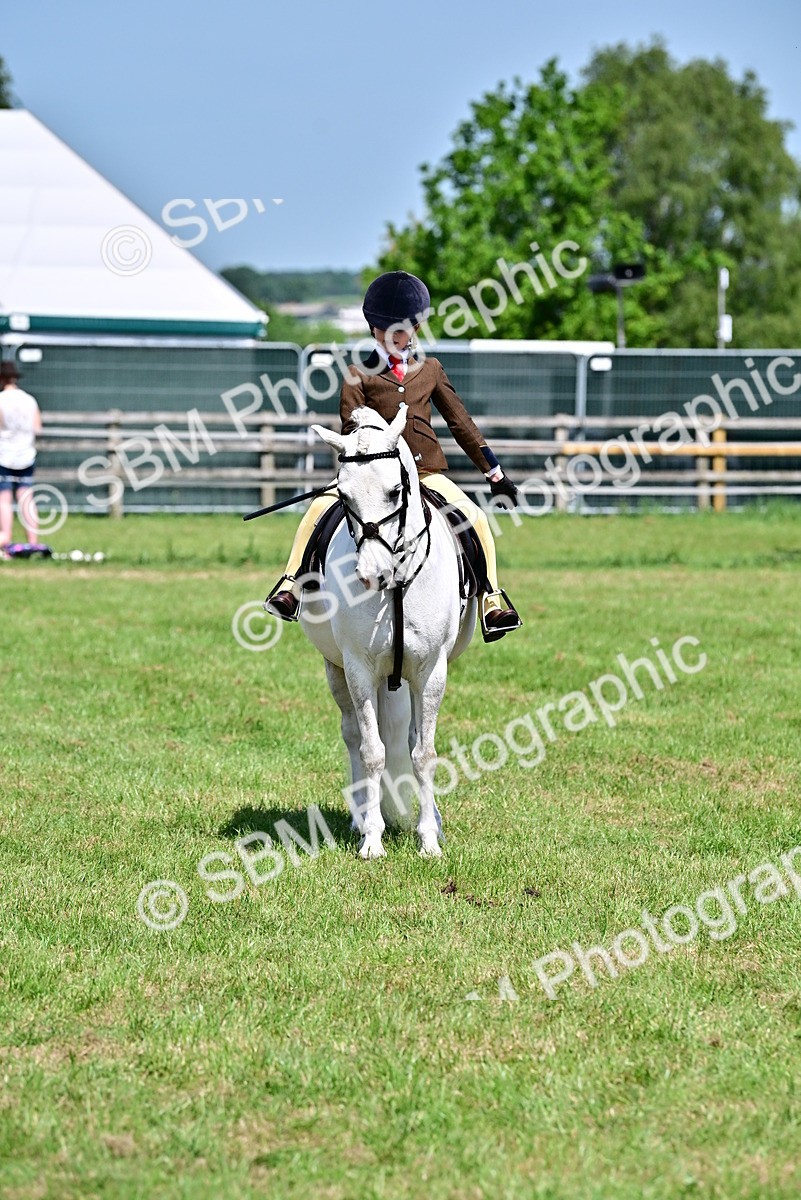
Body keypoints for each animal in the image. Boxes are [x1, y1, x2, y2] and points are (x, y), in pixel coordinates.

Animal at [299, 403, 477, 858]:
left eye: (396, 491)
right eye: (343, 495)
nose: (370, 574)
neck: (396, 581)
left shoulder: (431, 671)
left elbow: (424, 752)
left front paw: (429, 839)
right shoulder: (358, 668)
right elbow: (373, 751)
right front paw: (373, 839)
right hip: (336, 670)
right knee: (353, 737)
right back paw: (360, 818)